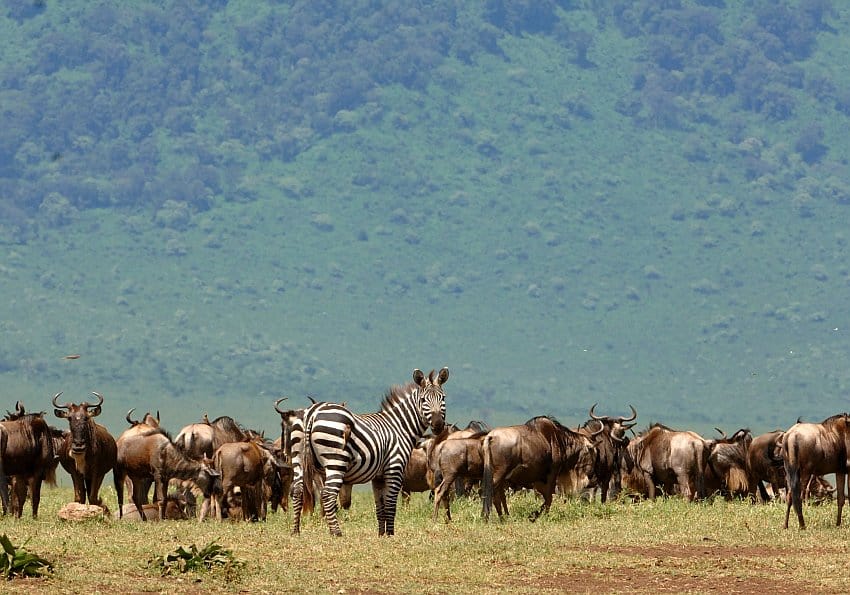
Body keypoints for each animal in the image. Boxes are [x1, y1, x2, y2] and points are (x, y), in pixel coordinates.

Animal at [294, 366, 448, 536]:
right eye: (423, 400)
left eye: (443, 398)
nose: (438, 425)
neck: (399, 427)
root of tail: (313, 412)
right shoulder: (394, 469)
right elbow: (390, 505)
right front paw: (390, 534)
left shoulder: (378, 478)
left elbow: (380, 507)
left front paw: (381, 534)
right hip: (335, 461)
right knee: (327, 495)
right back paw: (336, 532)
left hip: (298, 459)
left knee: (298, 491)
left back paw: (295, 531)